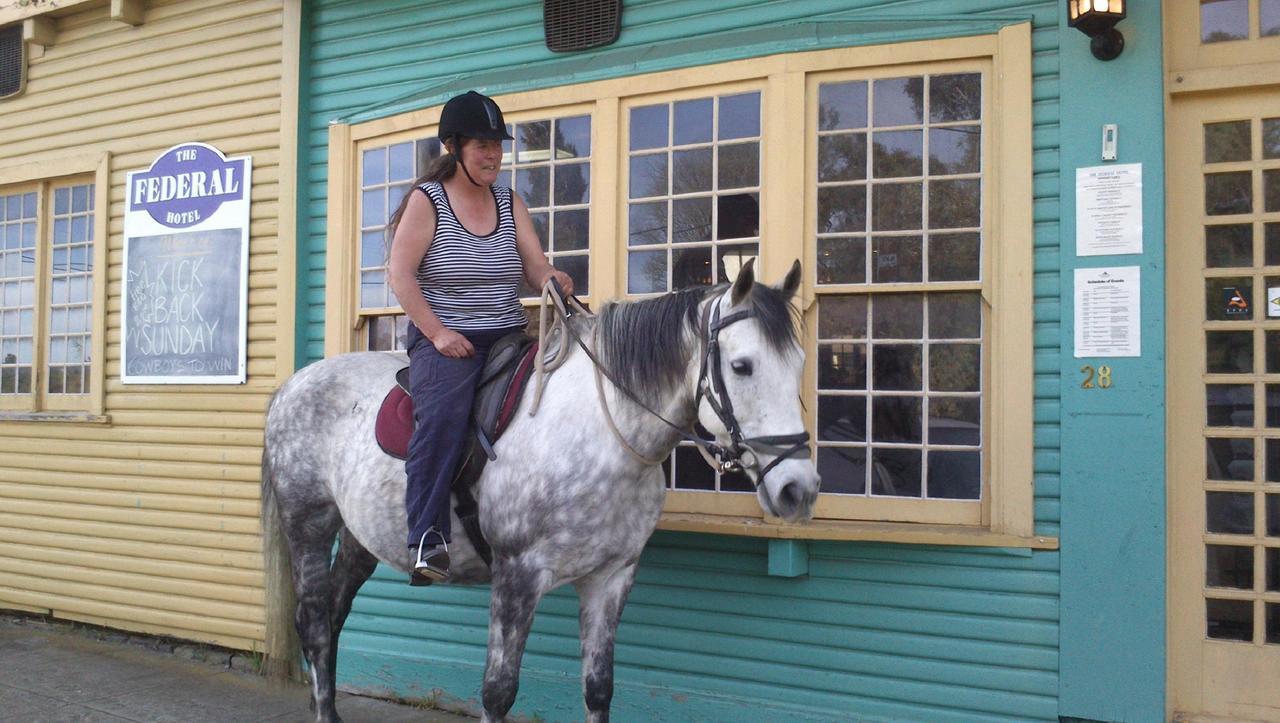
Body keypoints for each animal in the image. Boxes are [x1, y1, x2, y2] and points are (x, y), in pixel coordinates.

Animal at [259, 259, 819, 721]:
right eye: (742, 366)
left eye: (799, 363)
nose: (799, 488)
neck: (600, 434)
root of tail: (293, 385)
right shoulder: (517, 575)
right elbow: (498, 692)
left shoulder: (611, 577)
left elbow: (598, 688)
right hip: (308, 523)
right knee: (314, 622)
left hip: (361, 537)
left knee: (333, 616)